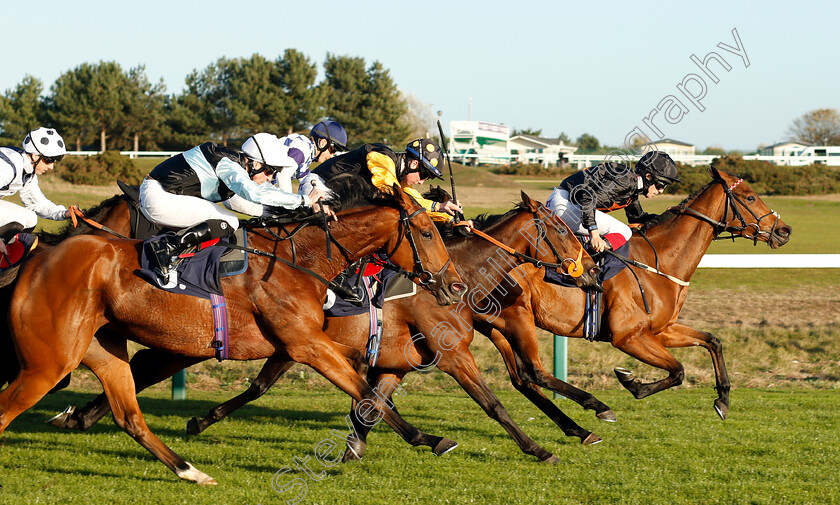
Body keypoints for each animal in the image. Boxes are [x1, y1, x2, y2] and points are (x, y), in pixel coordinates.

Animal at [0, 182, 466, 484]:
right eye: (427, 233)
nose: (455, 285)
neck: (302, 261)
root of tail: (39, 258)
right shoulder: (305, 344)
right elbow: (367, 392)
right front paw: (430, 438)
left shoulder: (305, 343)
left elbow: (367, 387)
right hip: (49, 361)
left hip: (98, 348)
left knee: (129, 415)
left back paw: (188, 471)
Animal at [46, 192, 608, 460]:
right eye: (562, 230)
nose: (590, 270)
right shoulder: (451, 355)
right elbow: (493, 403)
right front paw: (540, 447)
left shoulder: (392, 360)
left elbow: (369, 402)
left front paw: (357, 446)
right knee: (141, 369)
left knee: (142, 370)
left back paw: (85, 416)